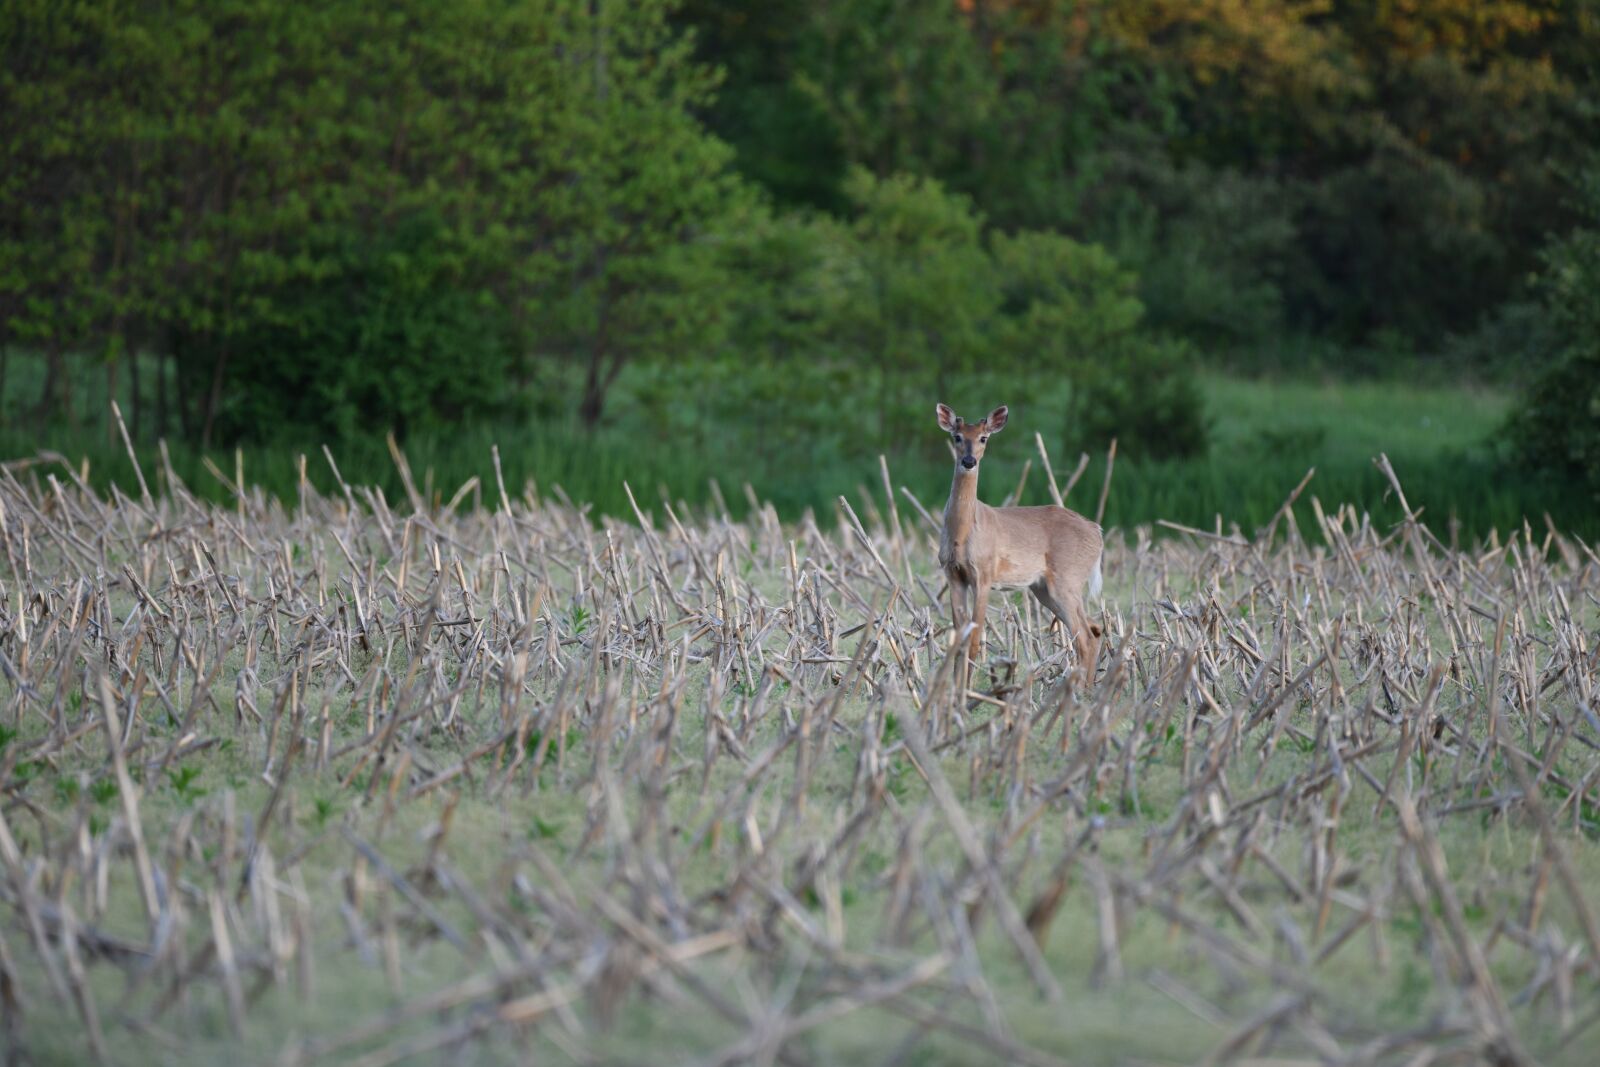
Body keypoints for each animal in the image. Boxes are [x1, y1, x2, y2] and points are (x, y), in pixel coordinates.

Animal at [936, 403, 1104, 677]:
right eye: (957, 436)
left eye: (983, 438)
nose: (969, 461)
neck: (963, 533)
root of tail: (1097, 531)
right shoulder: (953, 574)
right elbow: (959, 641)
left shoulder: (984, 574)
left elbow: (974, 641)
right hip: (1043, 588)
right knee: (1094, 629)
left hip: (1067, 579)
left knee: (1086, 638)